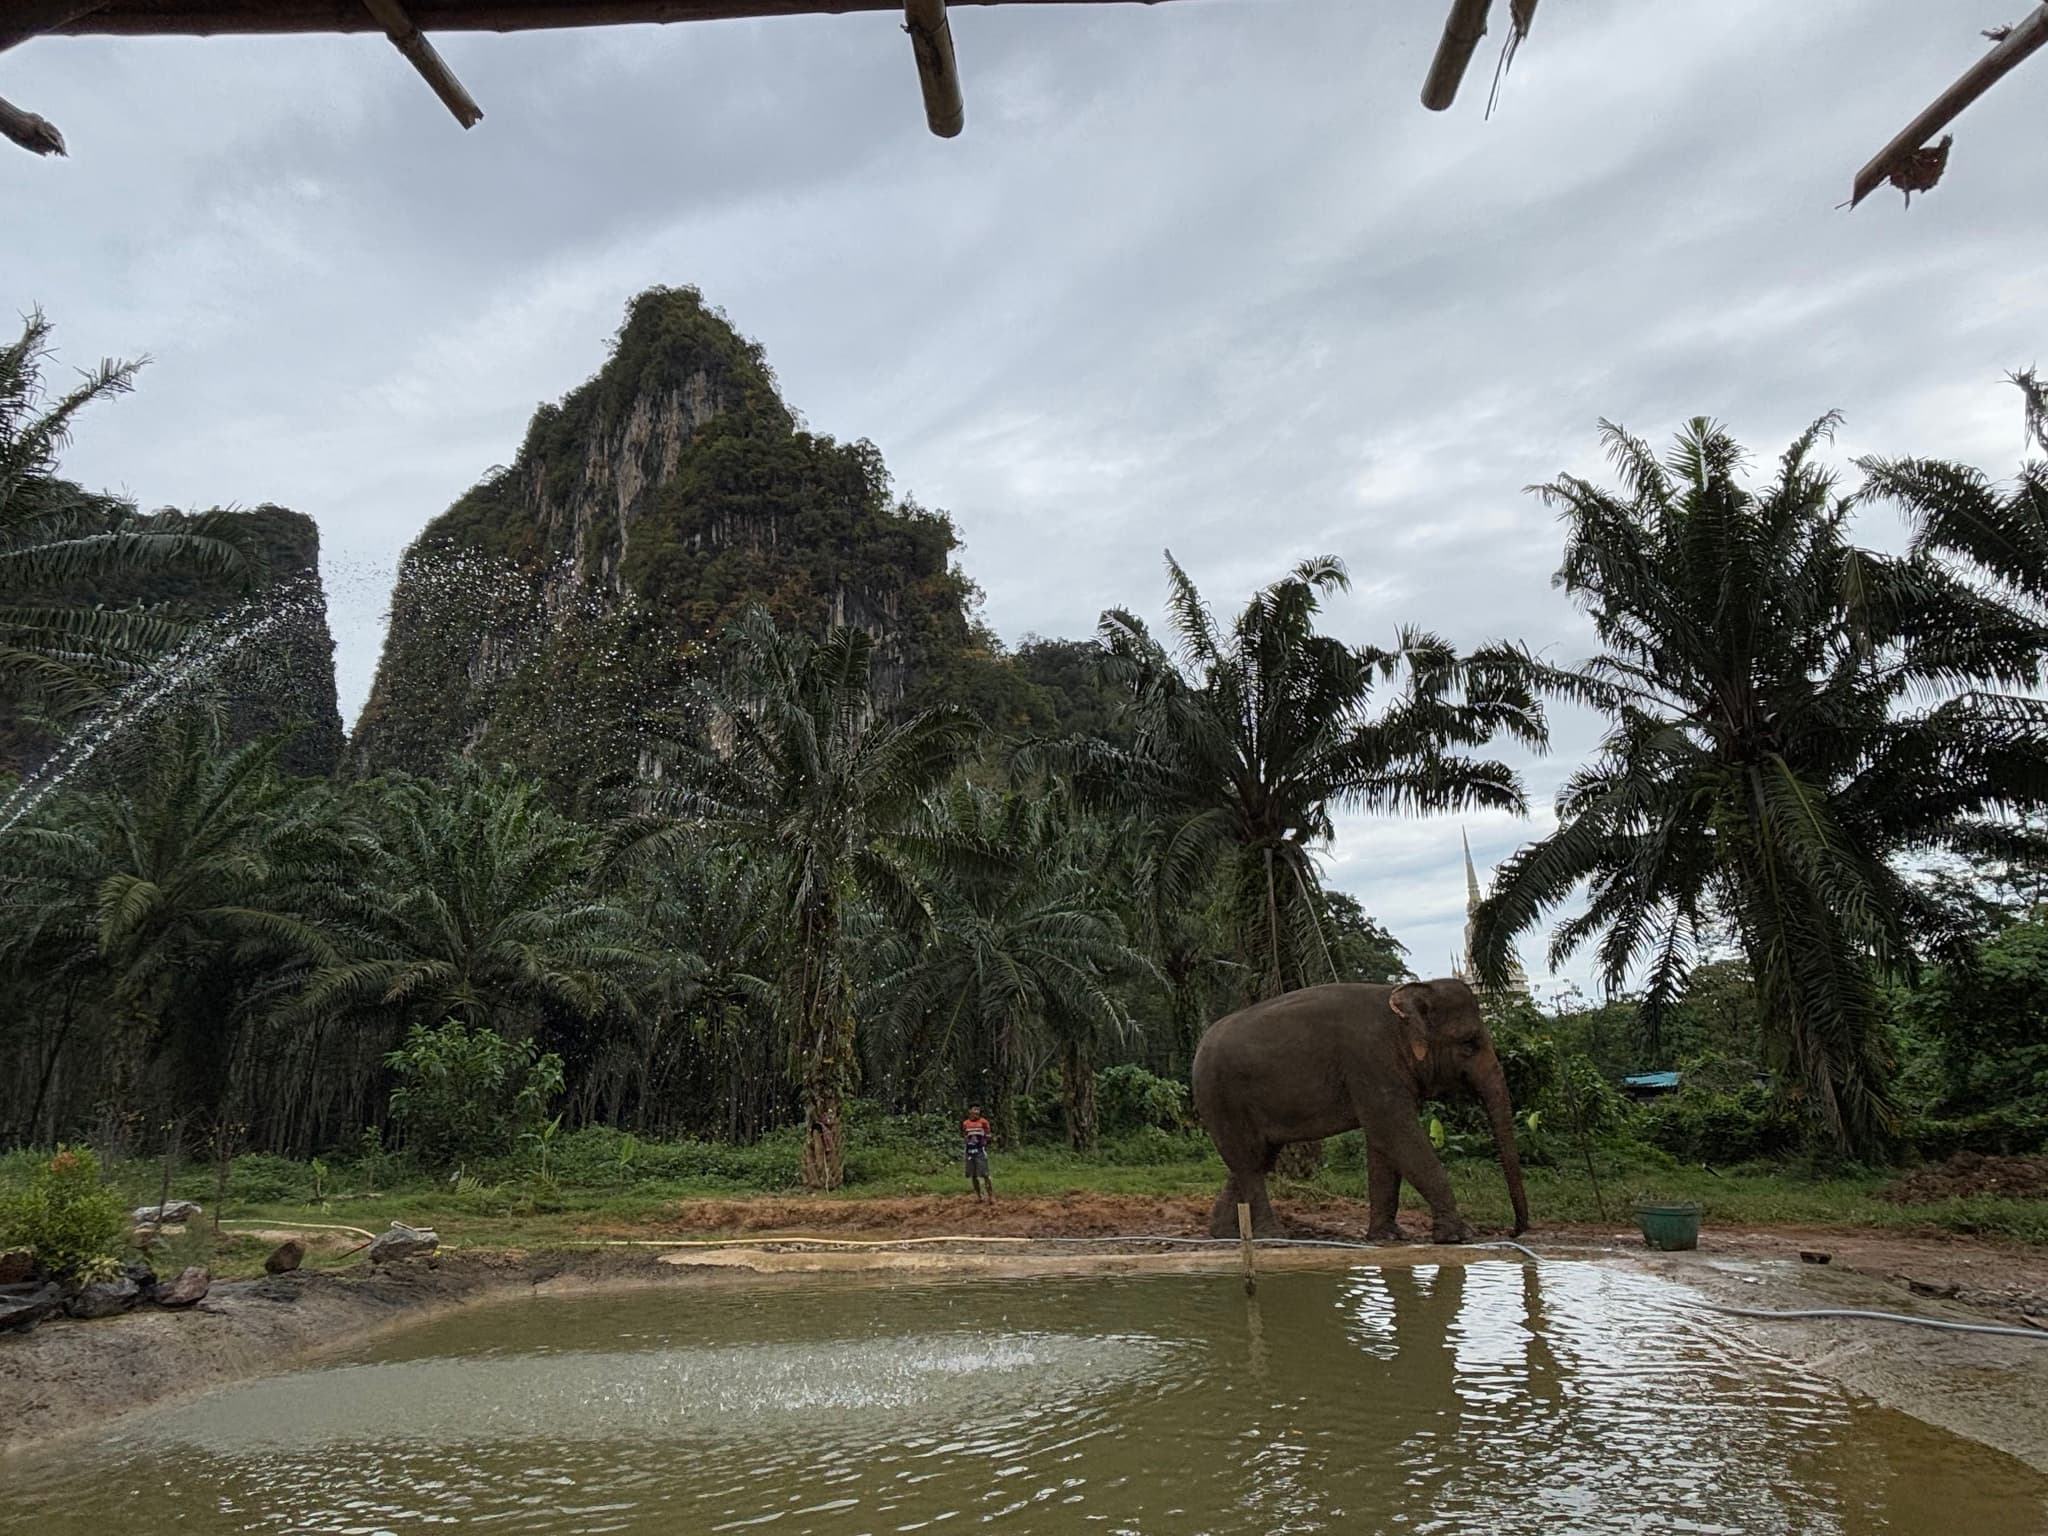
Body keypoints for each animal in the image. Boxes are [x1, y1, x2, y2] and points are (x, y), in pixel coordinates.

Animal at [1192, 977, 1530, 1243]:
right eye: (1469, 1044)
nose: (1513, 1232)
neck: (1404, 996)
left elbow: (1383, 1144)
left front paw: (1388, 1237)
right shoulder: (1370, 1061)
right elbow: (1396, 1133)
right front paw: (1458, 1236)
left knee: (1257, 1158)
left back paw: (1223, 1233)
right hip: (1219, 1096)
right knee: (1248, 1162)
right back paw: (1272, 1236)